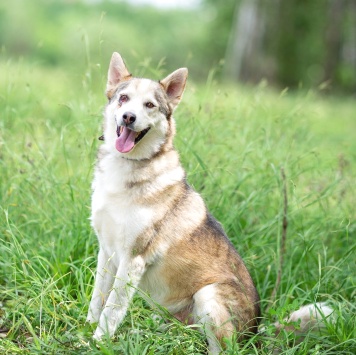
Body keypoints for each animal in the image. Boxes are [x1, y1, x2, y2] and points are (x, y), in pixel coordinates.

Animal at [86, 52, 334, 354]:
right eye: (123, 98)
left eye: (149, 105)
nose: (128, 117)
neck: (128, 167)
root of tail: (255, 335)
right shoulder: (107, 252)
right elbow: (97, 299)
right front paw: (85, 329)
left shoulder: (133, 259)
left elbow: (112, 310)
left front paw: (98, 341)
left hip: (208, 295)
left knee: (220, 348)